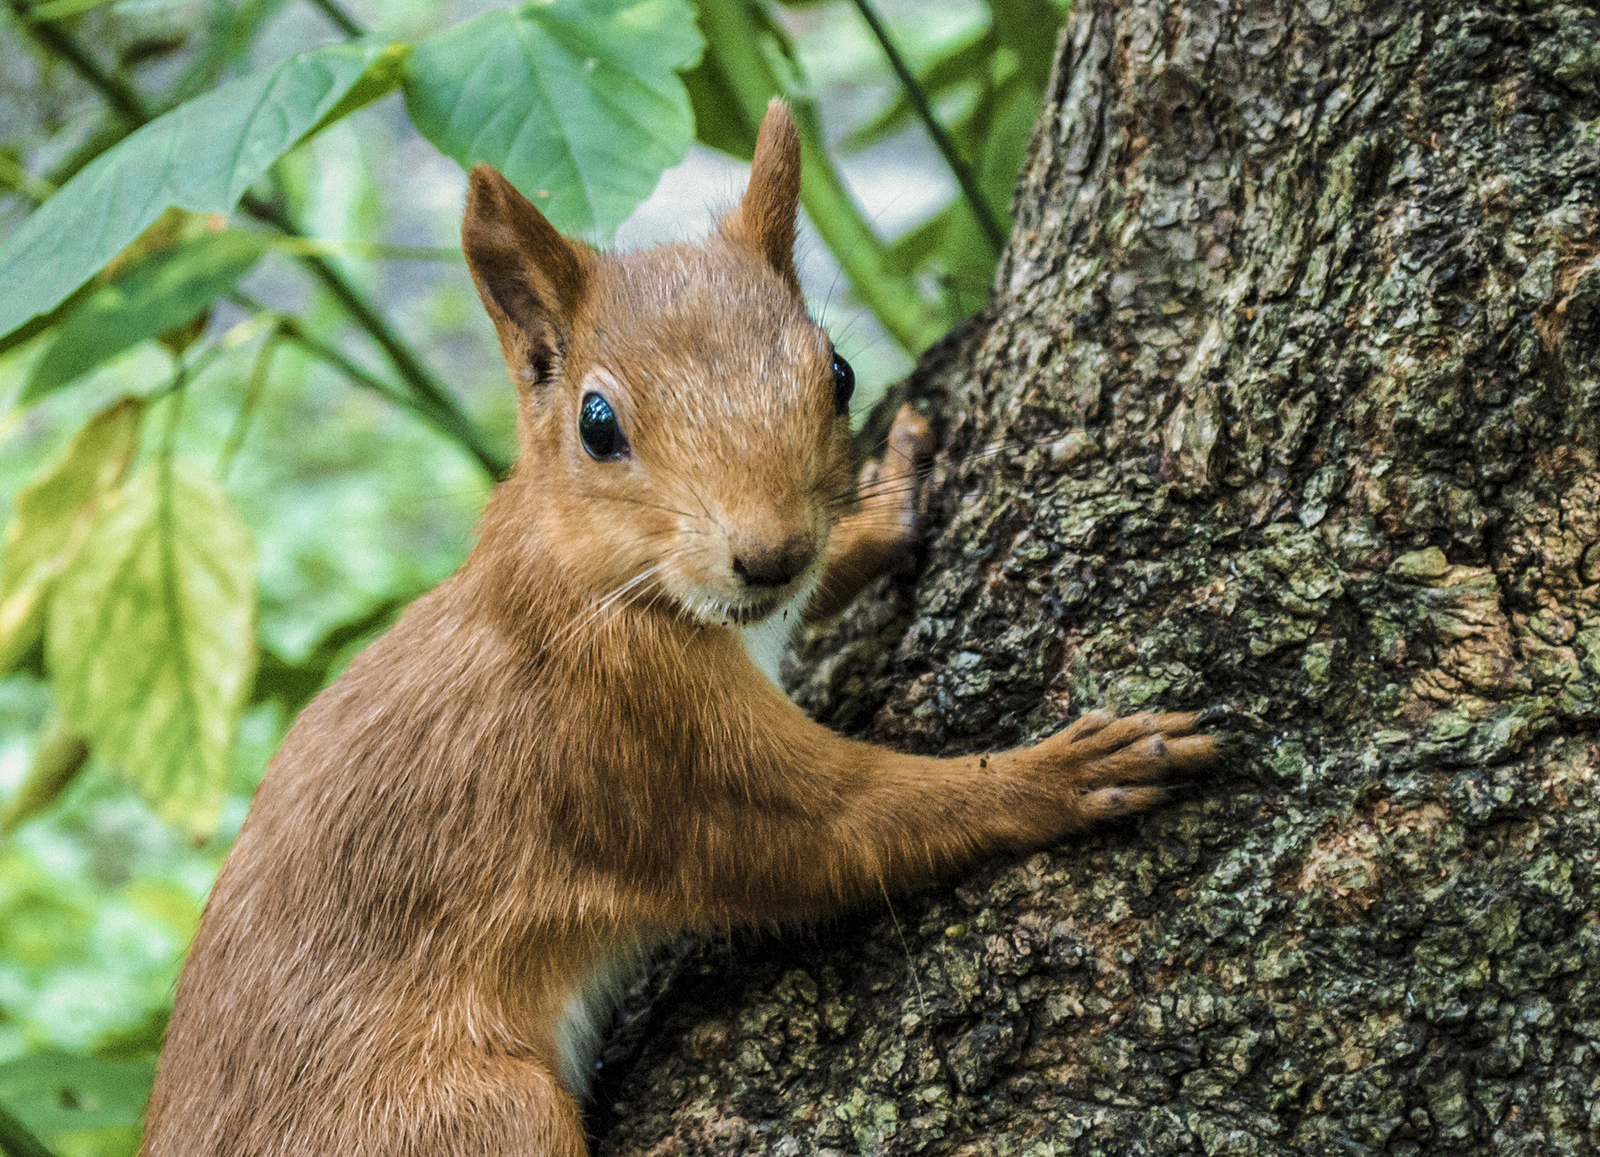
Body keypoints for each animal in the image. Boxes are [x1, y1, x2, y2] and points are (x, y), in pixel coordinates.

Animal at [137, 99, 1216, 1157]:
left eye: (839, 371)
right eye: (597, 424)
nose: (767, 553)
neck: (593, 580)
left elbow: (823, 592)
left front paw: (891, 498)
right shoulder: (644, 737)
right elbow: (839, 831)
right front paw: (1066, 771)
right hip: (471, 1114)